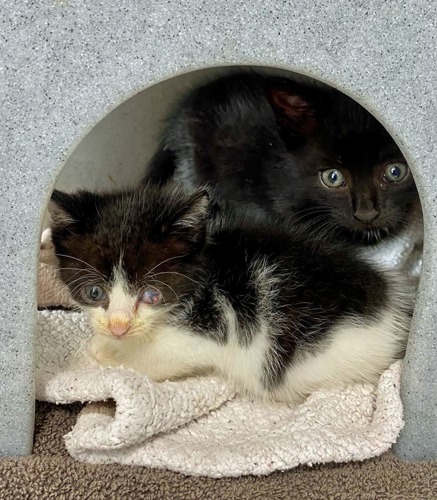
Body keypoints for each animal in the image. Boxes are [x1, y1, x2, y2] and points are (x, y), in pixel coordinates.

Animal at [48, 182, 412, 404]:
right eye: (95, 292)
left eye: (152, 295)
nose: (118, 326)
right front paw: (106, 340)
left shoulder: (215, 333)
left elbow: (157, 361)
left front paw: (110, 353)